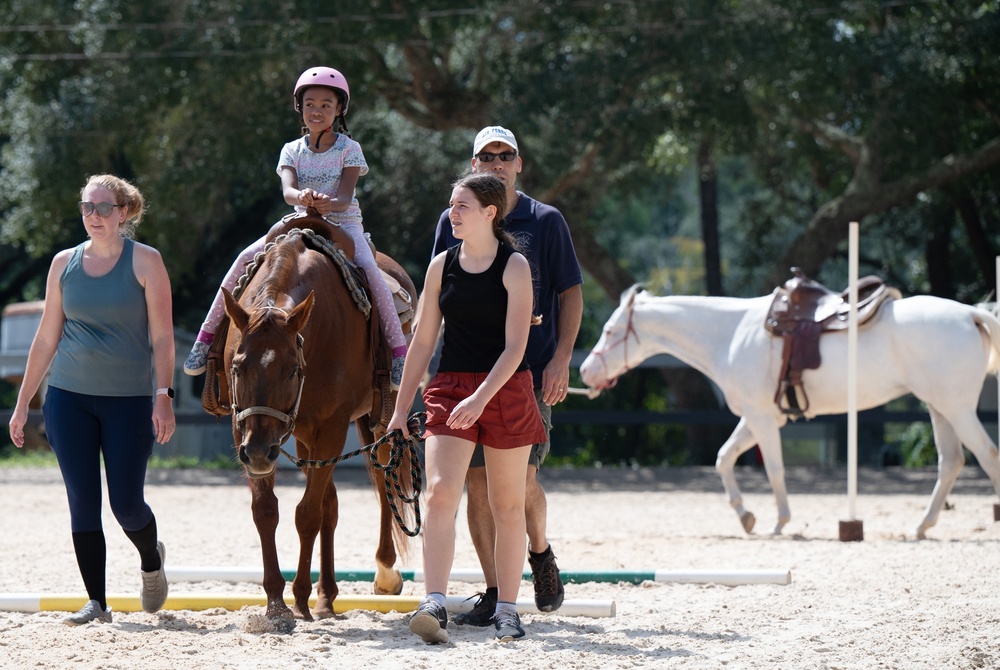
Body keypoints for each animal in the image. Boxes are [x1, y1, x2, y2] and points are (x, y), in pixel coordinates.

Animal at [222, 220, 414, 632]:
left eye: (292, 369)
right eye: (237, 368)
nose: (258, 453)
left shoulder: (332, 427)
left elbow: (306, 515)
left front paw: (298, 599)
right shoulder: (244, 427)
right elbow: (267, 510)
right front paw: (277, 603)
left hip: (375, 422)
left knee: (381, 479)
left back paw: (384, 573)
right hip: (302, 436)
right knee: (332, 503)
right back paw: (326, 596)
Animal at [576, 286, 1000, 540]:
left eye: (611, 331)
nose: (585, 372)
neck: (732, 333)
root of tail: (970, 314)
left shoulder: (762, 419)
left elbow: (775, 469)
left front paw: (779, 521)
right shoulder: (755, 417)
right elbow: (724, 459)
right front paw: (745, 516)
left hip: (957, 409)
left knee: (987, 456)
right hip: (939, 408)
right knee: (951, 462)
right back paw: (922, 526)